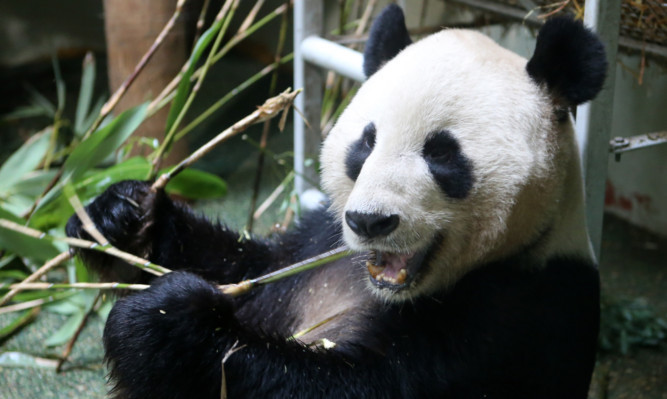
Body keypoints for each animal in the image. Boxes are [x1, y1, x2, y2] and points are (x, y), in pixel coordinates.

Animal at [66, 4, 604, 398]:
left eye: (442, 154)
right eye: (365, 143)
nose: (370, 221)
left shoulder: (513, 314)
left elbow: (352, 385)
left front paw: (167, 324)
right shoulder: (316, 244)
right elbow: (249, 266)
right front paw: (122, 218)